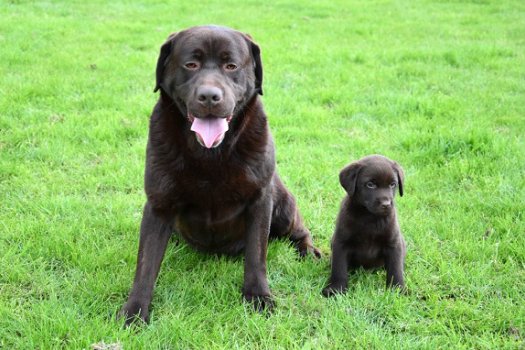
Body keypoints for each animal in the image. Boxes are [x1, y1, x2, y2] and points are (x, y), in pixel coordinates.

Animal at [322, 155, 408, 296]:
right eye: (370, 185)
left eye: (392, 184)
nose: (386, 204)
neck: (370, 217)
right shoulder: (340, 242)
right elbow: (339, 267)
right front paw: (336, 289)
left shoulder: (394, 244)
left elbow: (396, 269)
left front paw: (397, 289)